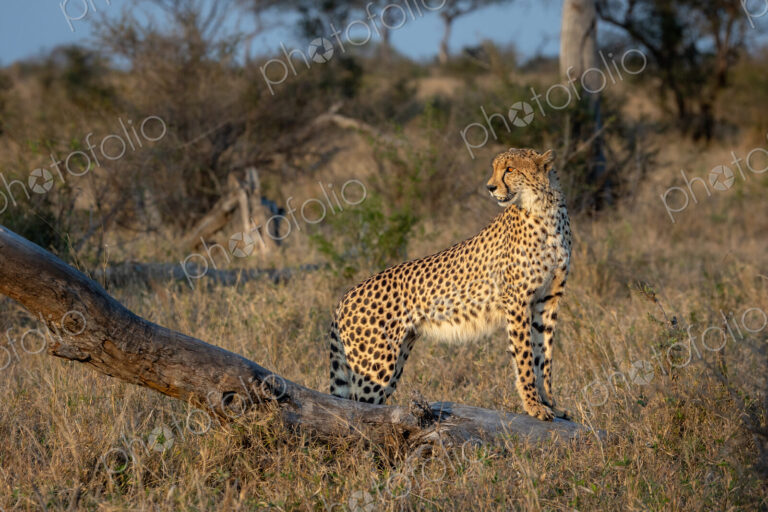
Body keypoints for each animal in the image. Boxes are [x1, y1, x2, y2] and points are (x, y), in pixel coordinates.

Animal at [328, 148, 572, 421]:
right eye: (495, 168)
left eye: (510, 169)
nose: (490, 187)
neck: (544, 209)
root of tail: (345, 295)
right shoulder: (517, 301)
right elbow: (525, 357)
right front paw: (533, 405)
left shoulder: (547, 300)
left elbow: (544, 356)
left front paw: (550, 403)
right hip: (375, 366)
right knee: (355, 412)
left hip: (394, 360)